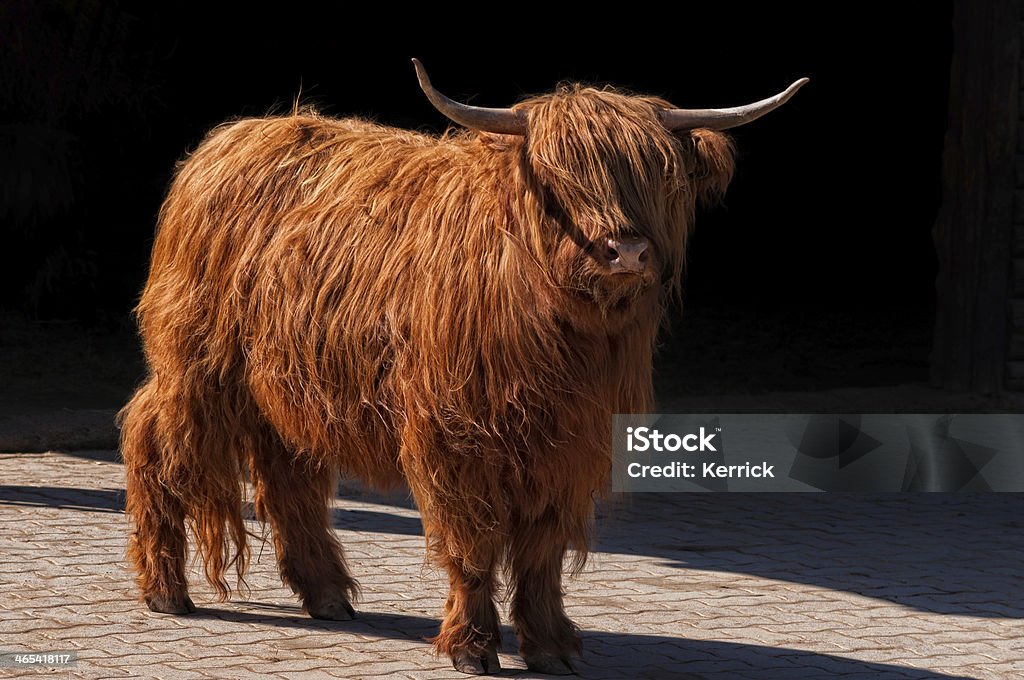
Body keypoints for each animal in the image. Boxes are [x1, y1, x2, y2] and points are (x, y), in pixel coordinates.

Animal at [119, 59, 806, 675]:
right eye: (559, 175)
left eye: (657, 174)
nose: (627, 251)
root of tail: (229, 139)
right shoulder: (455, 437)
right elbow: (473, 541)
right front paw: (472, 648)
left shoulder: (569, 446)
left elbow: (542, 552)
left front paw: (550, 646)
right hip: (197, 366)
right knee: (156, 443)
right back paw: (165, 589)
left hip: (286, 382)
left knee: (289, 476)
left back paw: (328, 595)